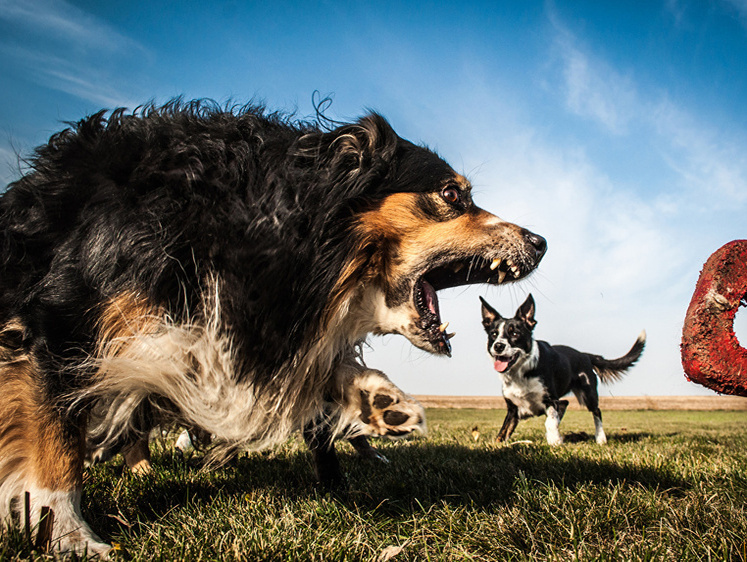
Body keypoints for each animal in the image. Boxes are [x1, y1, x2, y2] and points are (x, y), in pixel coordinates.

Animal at [0, 99, 548, 552]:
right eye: (452, 194)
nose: (541, 242)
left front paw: (375, 401)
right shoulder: (57, 324)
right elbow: (56, 442)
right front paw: (67, 534)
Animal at [482, 296, 644, 444]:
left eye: (515, 334)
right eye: (494, 334)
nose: (498, 346)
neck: (521, 373)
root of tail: (585, 355)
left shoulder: (550, 400)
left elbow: (550, 421)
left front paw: (554, 440)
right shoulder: (513, 409)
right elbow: (503, 431)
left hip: (589, 393)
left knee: (596, 411)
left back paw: (600, 438)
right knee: (565, 403)